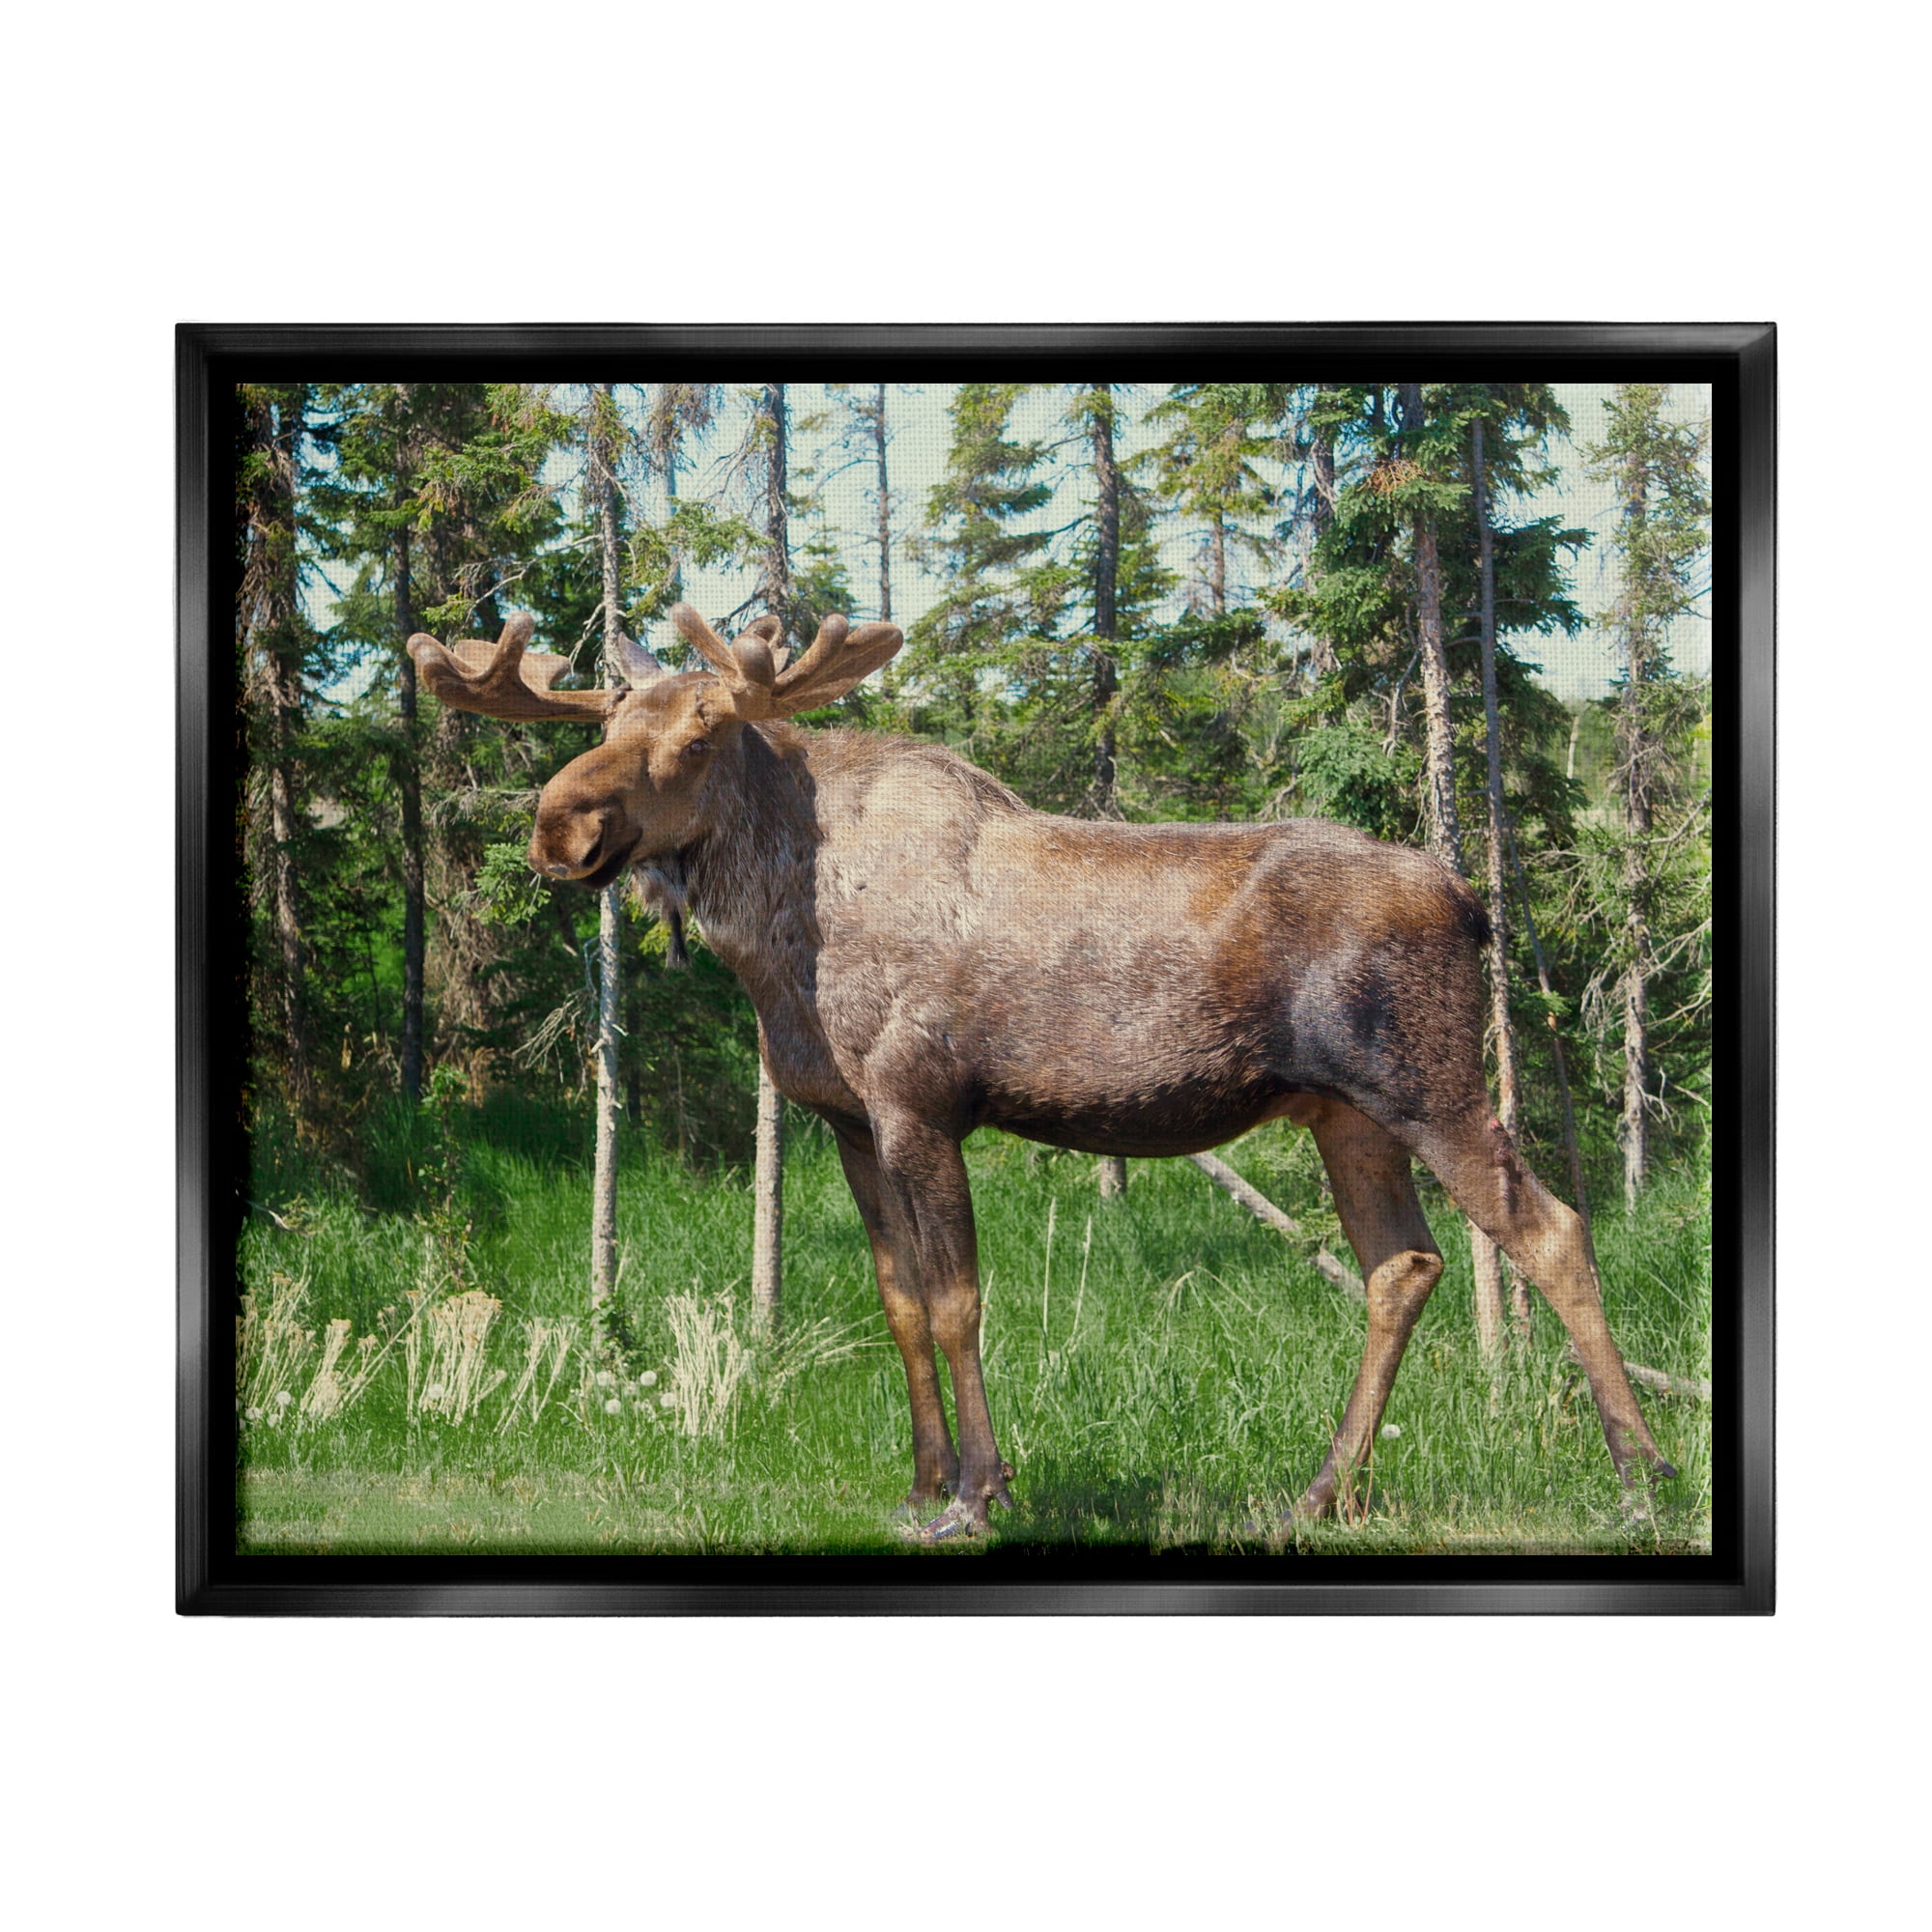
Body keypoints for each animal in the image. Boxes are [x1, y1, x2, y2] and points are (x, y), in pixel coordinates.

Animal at [408, 605, 1678, 1540]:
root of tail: (1473, 903)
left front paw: (978, 1493)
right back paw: (1321, 1492)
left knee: (1550, 1229)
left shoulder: (919, 1104)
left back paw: (1639, 1474)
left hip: (1425, 1082)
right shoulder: (845, 1119)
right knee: (1401, 1264)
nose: (561, 825)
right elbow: (898, 1301)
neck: (775, 949)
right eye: (607, 713)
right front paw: (919, 1482)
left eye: (708, 727)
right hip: (1342, 1113)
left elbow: (957, 1299)